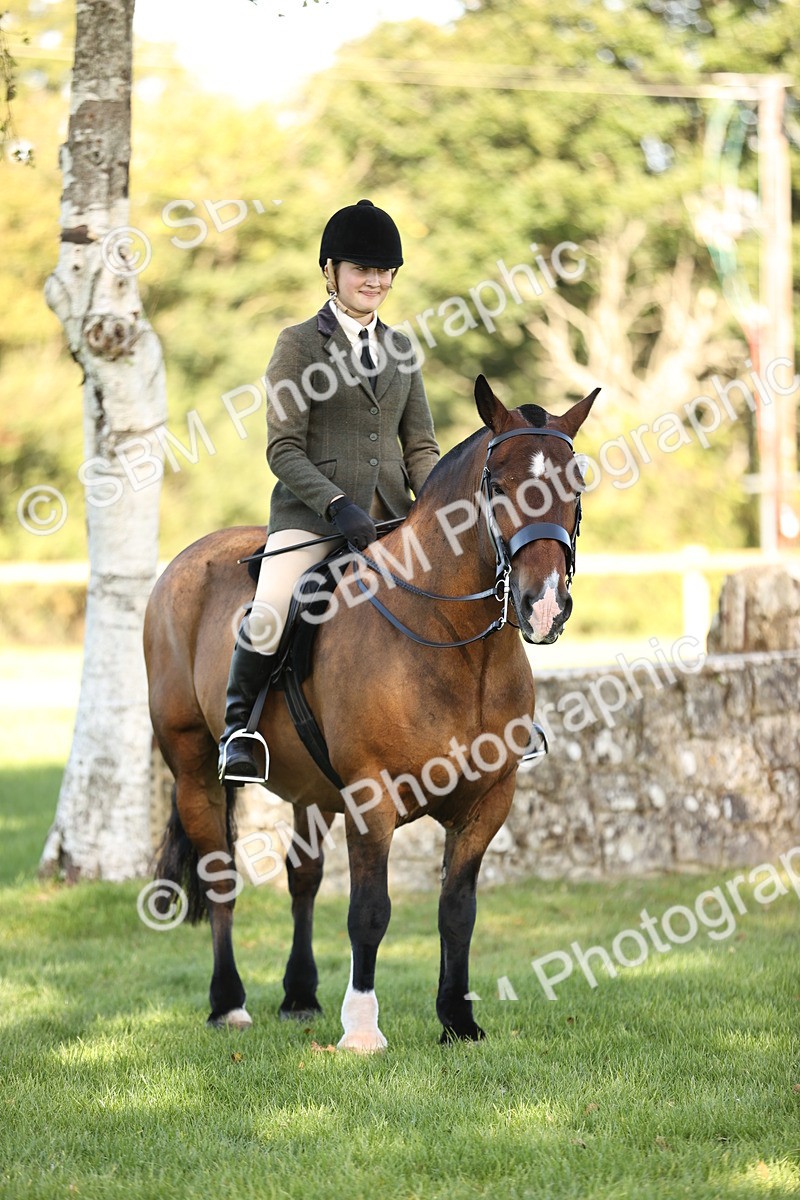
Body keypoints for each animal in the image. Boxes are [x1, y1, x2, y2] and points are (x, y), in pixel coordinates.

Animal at [144, 374, 597, 1050]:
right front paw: (361, 1030)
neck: (455, 644)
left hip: (308, 788)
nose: (543, 606)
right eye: (498, 485)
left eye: (576, 487)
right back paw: (229, 1004)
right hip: (195, 767)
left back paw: (300, 996)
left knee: (302, 876)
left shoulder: (487, 803)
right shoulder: (371, 798)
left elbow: (457, 911)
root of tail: (188, 557)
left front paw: (457, 1020)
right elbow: (370, 912)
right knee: (221, 876)